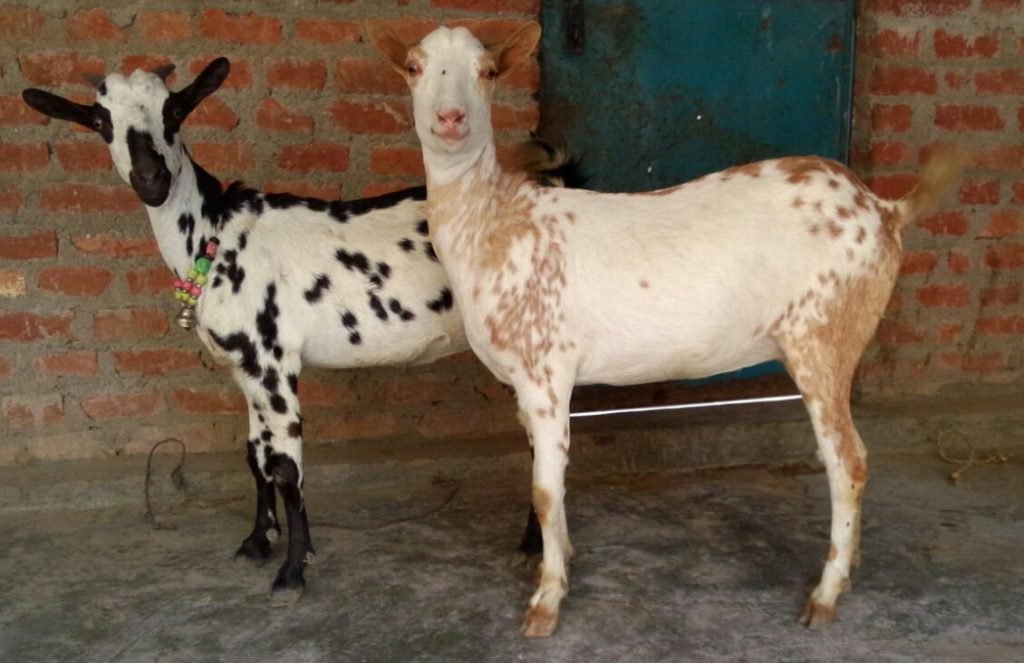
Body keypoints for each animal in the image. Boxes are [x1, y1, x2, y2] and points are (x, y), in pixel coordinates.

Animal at [23, 59, 553, 602]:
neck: (215, 234)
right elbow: (255, 455)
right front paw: (259, 541)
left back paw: (532, 547)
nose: (153, 178)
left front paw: (292, 571)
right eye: (100, 122)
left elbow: (285, 466)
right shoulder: (245, 368)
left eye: (174, 111)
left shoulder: (272, 363)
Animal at [369, 22, 966, 636]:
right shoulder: (525, 381)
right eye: (414, 66)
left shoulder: (545, 369)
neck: (495, 221)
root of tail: (885, 210)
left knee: (848, 461)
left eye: (487, 71)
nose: (451, 119)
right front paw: (563, 561)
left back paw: (825, 595)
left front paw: (546, 602)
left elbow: (543, 489)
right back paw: (850, 566)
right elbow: (547, 484)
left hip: (825, 336)